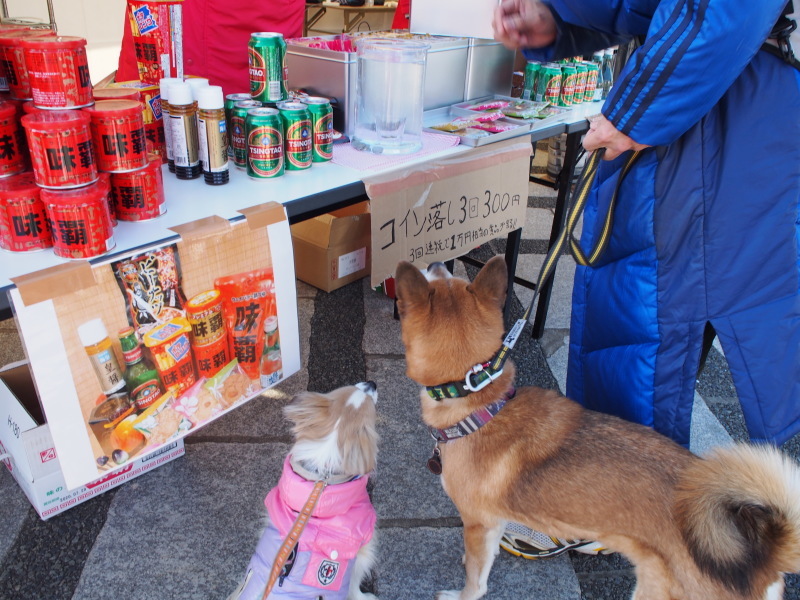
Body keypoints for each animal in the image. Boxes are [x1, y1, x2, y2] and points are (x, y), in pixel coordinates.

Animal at [394, 255, 800, 596]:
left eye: (439, 276)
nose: (436, 261)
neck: (481, 403)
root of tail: (765, 556)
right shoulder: (494, 522)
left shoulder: (479, 523)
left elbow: (476, 580)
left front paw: (462, 591)